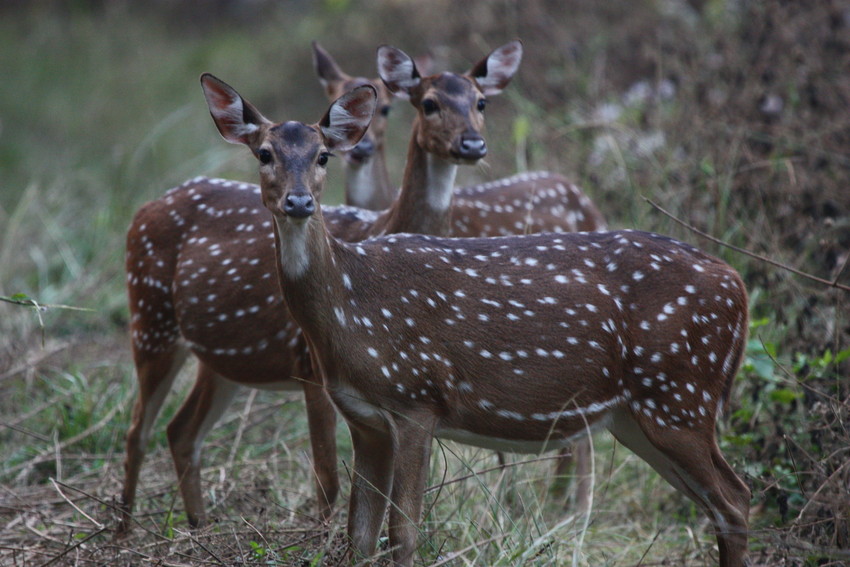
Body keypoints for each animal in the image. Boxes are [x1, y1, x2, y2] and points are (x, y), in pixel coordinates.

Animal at [120, 41, 524, 532]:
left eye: (482, 103)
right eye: (428, 104)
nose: (472, 145)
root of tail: (145, 209)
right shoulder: (309, 361)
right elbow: (327, 475)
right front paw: (325, 535)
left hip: (220, 359)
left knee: (180, 430)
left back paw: (198, 525)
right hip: (150, 316)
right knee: (138, 428)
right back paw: (121, 530)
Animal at [204, 75, 748, 567]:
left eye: (322, 156)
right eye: (264, 154)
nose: (299, 202)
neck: (350, 306)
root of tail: (739, 288)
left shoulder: (415, 398)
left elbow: (404, 531)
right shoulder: (364, 418)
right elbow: (360, 536)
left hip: (680, 395)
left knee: (735, 500)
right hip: (639, 415)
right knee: (722, 502)